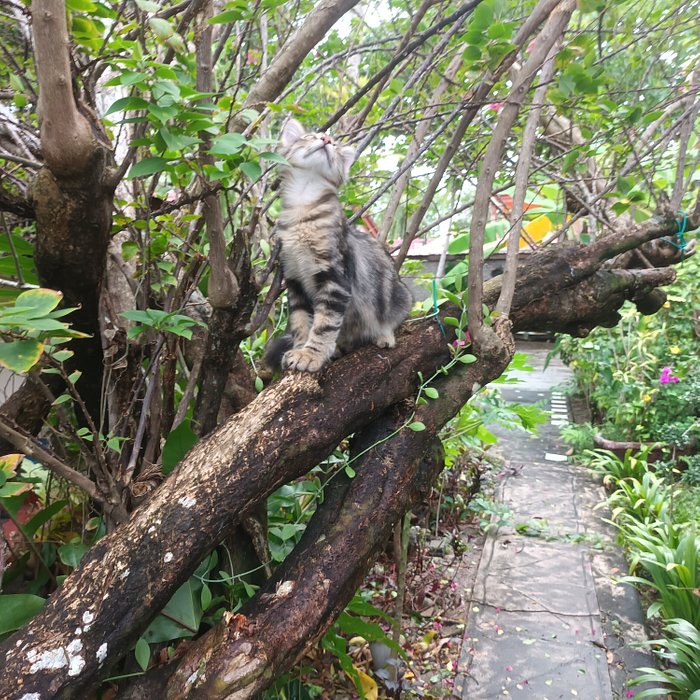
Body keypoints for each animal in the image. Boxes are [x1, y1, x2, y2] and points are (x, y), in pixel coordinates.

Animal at [266, 121, 410, 374]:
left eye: (334, 144)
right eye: (310, 136)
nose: (325, 139)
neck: (302, 207)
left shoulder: (335, 278)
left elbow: (324, 325)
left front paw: (311, 355)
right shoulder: (294, 279)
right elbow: (301, 322)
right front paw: (300, 348)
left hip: (398, 295)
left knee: (390, 319)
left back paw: (383, 335)